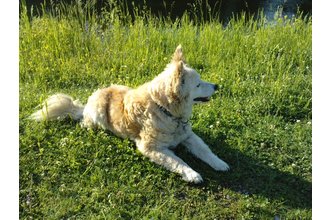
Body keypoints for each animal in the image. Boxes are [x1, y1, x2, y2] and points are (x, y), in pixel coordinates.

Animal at [29, 44, 228, 182]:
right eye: (198, 84)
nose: (217, 86)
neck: (165, 110)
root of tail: (86, 105)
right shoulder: (150, 148)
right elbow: (178, 161)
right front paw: (192, 174)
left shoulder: (188, 136)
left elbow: (206, 150)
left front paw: (220, 163)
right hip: (98, 112)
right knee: (85, 123)